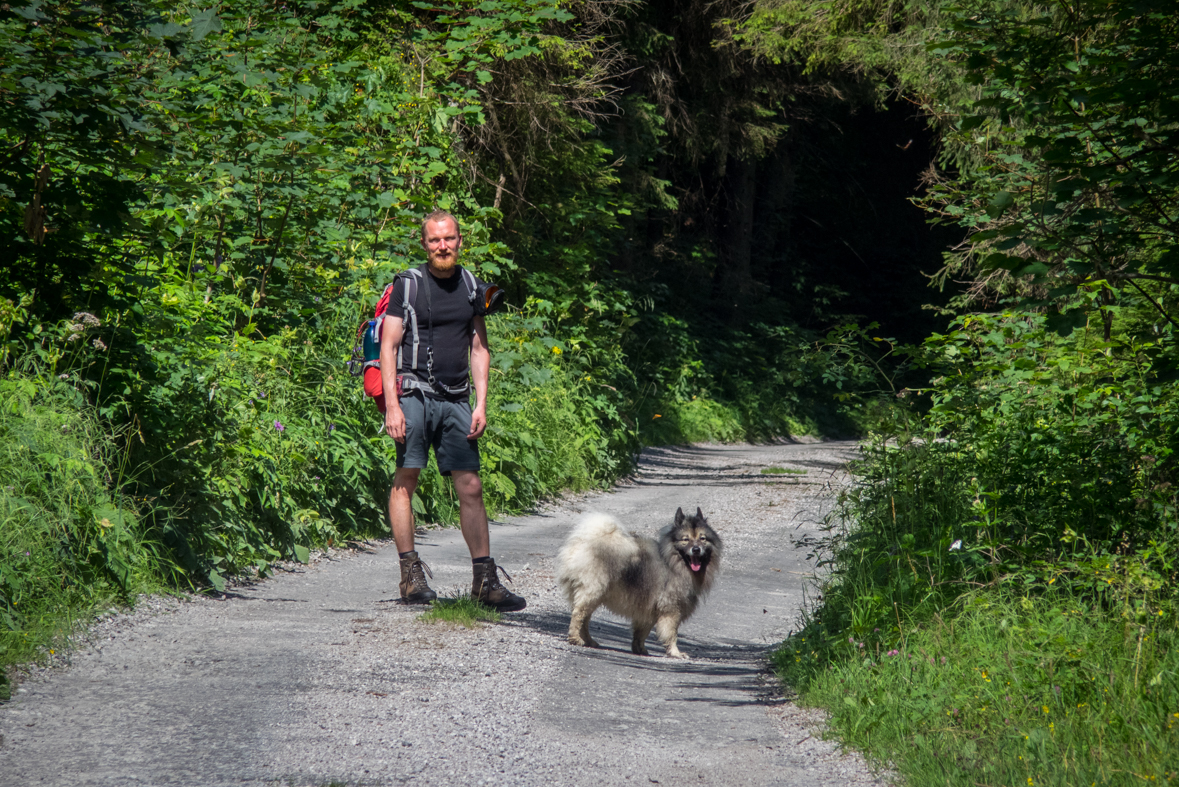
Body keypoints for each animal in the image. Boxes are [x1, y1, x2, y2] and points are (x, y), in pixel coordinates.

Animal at [558, 504, 721, 659]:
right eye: (685, 539)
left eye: (702, 538)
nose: (696, 549)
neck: (673, 562)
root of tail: (582, 542)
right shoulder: (671, 609)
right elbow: (671, 633)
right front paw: (675, 653)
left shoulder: (648, 609)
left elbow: (641, 633)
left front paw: (639, 649)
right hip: (593, 591)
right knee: (578, 615)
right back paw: (575, 638)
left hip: (594, 595)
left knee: (585, 619)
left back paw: (589, 641)